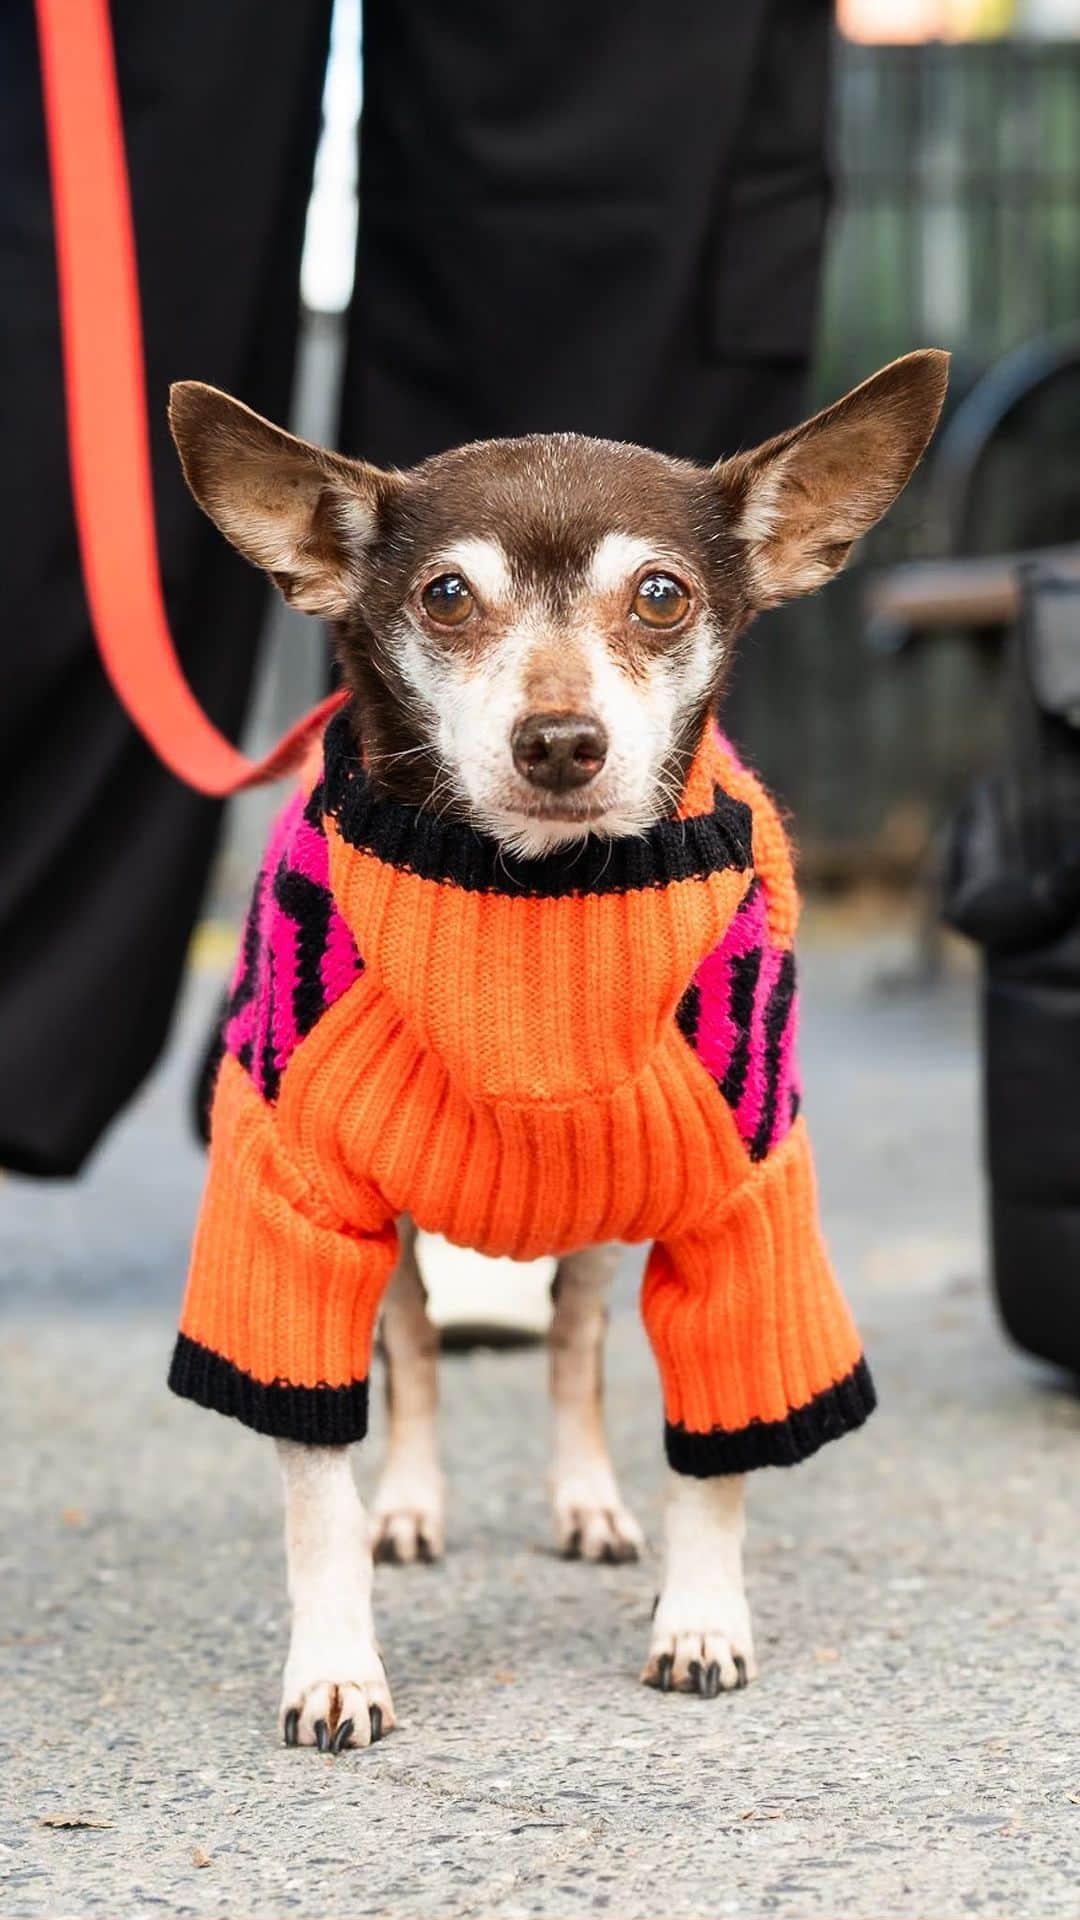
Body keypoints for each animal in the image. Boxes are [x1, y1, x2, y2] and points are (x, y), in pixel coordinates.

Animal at [166, 353, 941, 1751]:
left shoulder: (742, 1214)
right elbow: (317, 1487)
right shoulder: (294, 1215)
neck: (533, 905)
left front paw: (702, 1616)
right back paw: (410, 1504)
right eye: (446, 595)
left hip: (596, 1232)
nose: (563, 739)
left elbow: (718, 1449)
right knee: (418, 1354)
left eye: (661, 594)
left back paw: (588, 1501)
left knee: (575, 1348)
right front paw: (335, 1659)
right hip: (401, 1241)